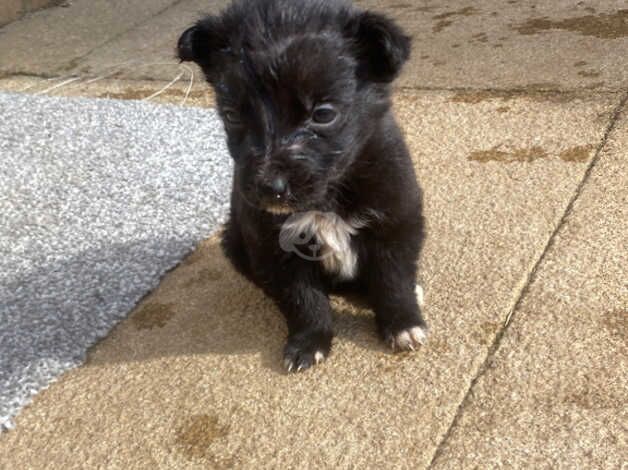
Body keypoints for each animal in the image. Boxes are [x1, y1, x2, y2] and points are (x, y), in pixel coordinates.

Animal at [179, 0, 430, 370]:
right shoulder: (276, 246)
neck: (325, 199)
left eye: (323, 114)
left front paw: (403, 324)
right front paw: (309, 342)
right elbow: (303, 299)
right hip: (234, 239)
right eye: (232, 115)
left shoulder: (395, 220)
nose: (269, 187)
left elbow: (393, 280)